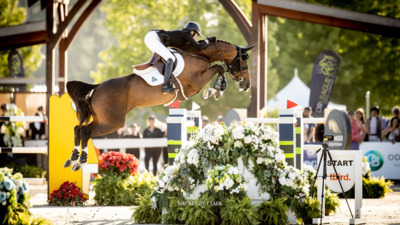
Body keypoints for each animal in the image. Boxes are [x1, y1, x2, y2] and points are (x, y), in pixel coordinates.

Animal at [63, 37, 253, 171]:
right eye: (244, 61)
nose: (246, 85)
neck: (199, 54)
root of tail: (96, 88)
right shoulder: (196, 81)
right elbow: (219, 68)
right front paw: (216, 90)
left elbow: (218, 68)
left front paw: (216, 90)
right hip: (112, 122)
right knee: (85, 132)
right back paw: (81, 161)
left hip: (102, 119)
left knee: (78, 129)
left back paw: (72, 159)